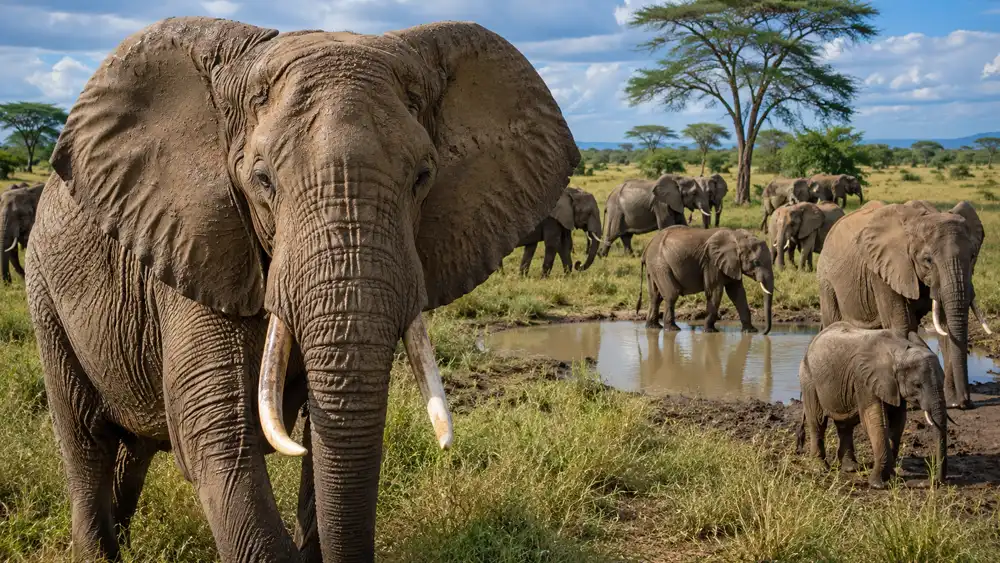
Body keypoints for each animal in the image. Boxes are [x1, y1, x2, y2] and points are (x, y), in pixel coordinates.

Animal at [25, 16, 578, 563]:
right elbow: (216, 431)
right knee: (85, 437)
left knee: (130, 451)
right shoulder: (196, 240)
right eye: (263, 179)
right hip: (43, 290)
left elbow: (326, 423)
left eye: (423, 177)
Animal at [636, 225, 774, 334]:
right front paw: (710, 331)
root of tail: (648, 246)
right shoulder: (711, 262)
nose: (763, 333)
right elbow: (715, 292)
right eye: (756, 262)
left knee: (655, 296)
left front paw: (750, 331)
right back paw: (672, 329)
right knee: (671, 294)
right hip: (660, 264)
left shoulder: (733, 265)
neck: (735, 237)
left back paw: (653, 327)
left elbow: (737, 293)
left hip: (653, 267)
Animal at [796, 322, 948, 488]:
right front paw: (878, 484)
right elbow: (875, 422)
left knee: (845, 425)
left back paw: (850, 468)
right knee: (817, 421)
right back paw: (820, 468)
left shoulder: (893, 387)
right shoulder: (865, 380)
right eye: (917, 385)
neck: (898, 351)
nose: (932, 482)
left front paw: (891, 476)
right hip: (808, 378)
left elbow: (898, 422)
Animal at [817, 200, 989, 411]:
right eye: (928, 260)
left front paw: (952, 402)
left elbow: (945, 328)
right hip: (826, 280)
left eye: (973, 256)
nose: (966, 403)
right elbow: (903, 325)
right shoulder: (883, 271)